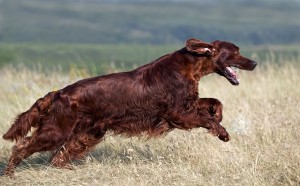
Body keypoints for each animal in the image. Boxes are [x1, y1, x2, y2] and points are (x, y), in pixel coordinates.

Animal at [2, 38, 255, 175]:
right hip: (56, 131)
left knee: (58, 157)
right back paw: (10, 174)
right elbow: (206, 119)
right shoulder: (177, 113)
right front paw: (222, 132)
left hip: (86, 134)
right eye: (236, 52)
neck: (190, 65)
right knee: (22, 147)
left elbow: (215, 102)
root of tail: (58, 93)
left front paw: (218, 115)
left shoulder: (187, 104)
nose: (253, 63)